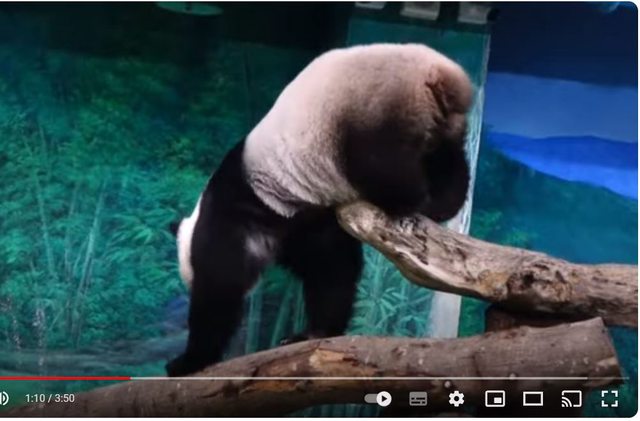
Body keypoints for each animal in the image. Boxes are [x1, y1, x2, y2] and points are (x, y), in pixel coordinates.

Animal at [166, 43, 473, 377]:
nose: (187, 284)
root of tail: (440, 75)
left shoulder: (238, 216)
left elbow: (221, 284)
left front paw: (187, 360)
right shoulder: (300, 217)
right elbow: (329, 266)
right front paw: (311, 333)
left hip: (376, 112)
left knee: (383, 164)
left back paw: (409, 201)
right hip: (442, 123)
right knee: (448, 160)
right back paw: (442, 199)